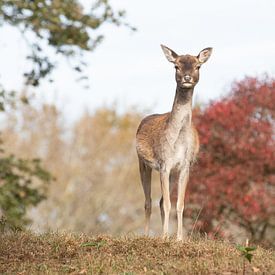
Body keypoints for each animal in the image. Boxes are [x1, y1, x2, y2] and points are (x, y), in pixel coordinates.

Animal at [136, 44, 213, 242]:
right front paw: (164, 236)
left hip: (171, 173)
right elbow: (168, 204)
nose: (187, 78)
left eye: (198, 66)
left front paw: (178, 238)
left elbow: (179, 203)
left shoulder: (184, 166)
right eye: (176, 66)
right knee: (148, 201)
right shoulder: (164, 164)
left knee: (161, 200)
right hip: (142, 163)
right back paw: (146, 234)